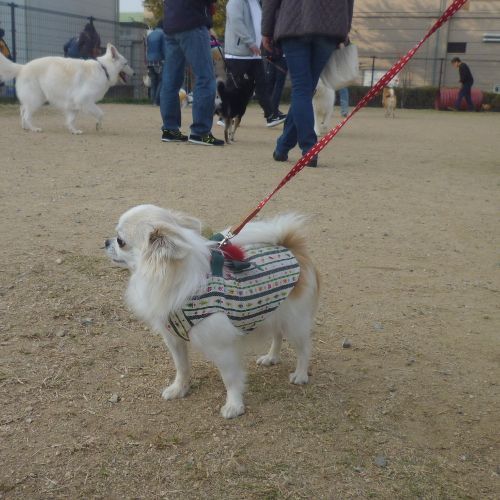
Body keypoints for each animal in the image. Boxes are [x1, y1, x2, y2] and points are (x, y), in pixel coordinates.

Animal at [0, 43, 134, 134]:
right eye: (126, 63)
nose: (134, 73)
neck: (104, 69)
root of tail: (22, 67)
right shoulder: (85, 101)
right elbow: (101, 114)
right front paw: (98, 125)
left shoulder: (73, 105)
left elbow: (71, 120)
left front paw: (74, 131)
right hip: (36, 100)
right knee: (27, 115)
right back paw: (34, 128)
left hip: (32, 100)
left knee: (22, 110)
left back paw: (25, 127)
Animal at [104, 203, 320, 418]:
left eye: (120, 241)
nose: (106, 241)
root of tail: (291, 246)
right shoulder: (174, 340)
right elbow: (181, 367)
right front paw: (179, 389)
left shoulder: (222, 348)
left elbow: (230, 378)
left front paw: (234, 405)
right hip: (275, 312)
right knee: (277, 335)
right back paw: (271, 357)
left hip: (294, 322)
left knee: (303, 349)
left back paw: (300, 375)